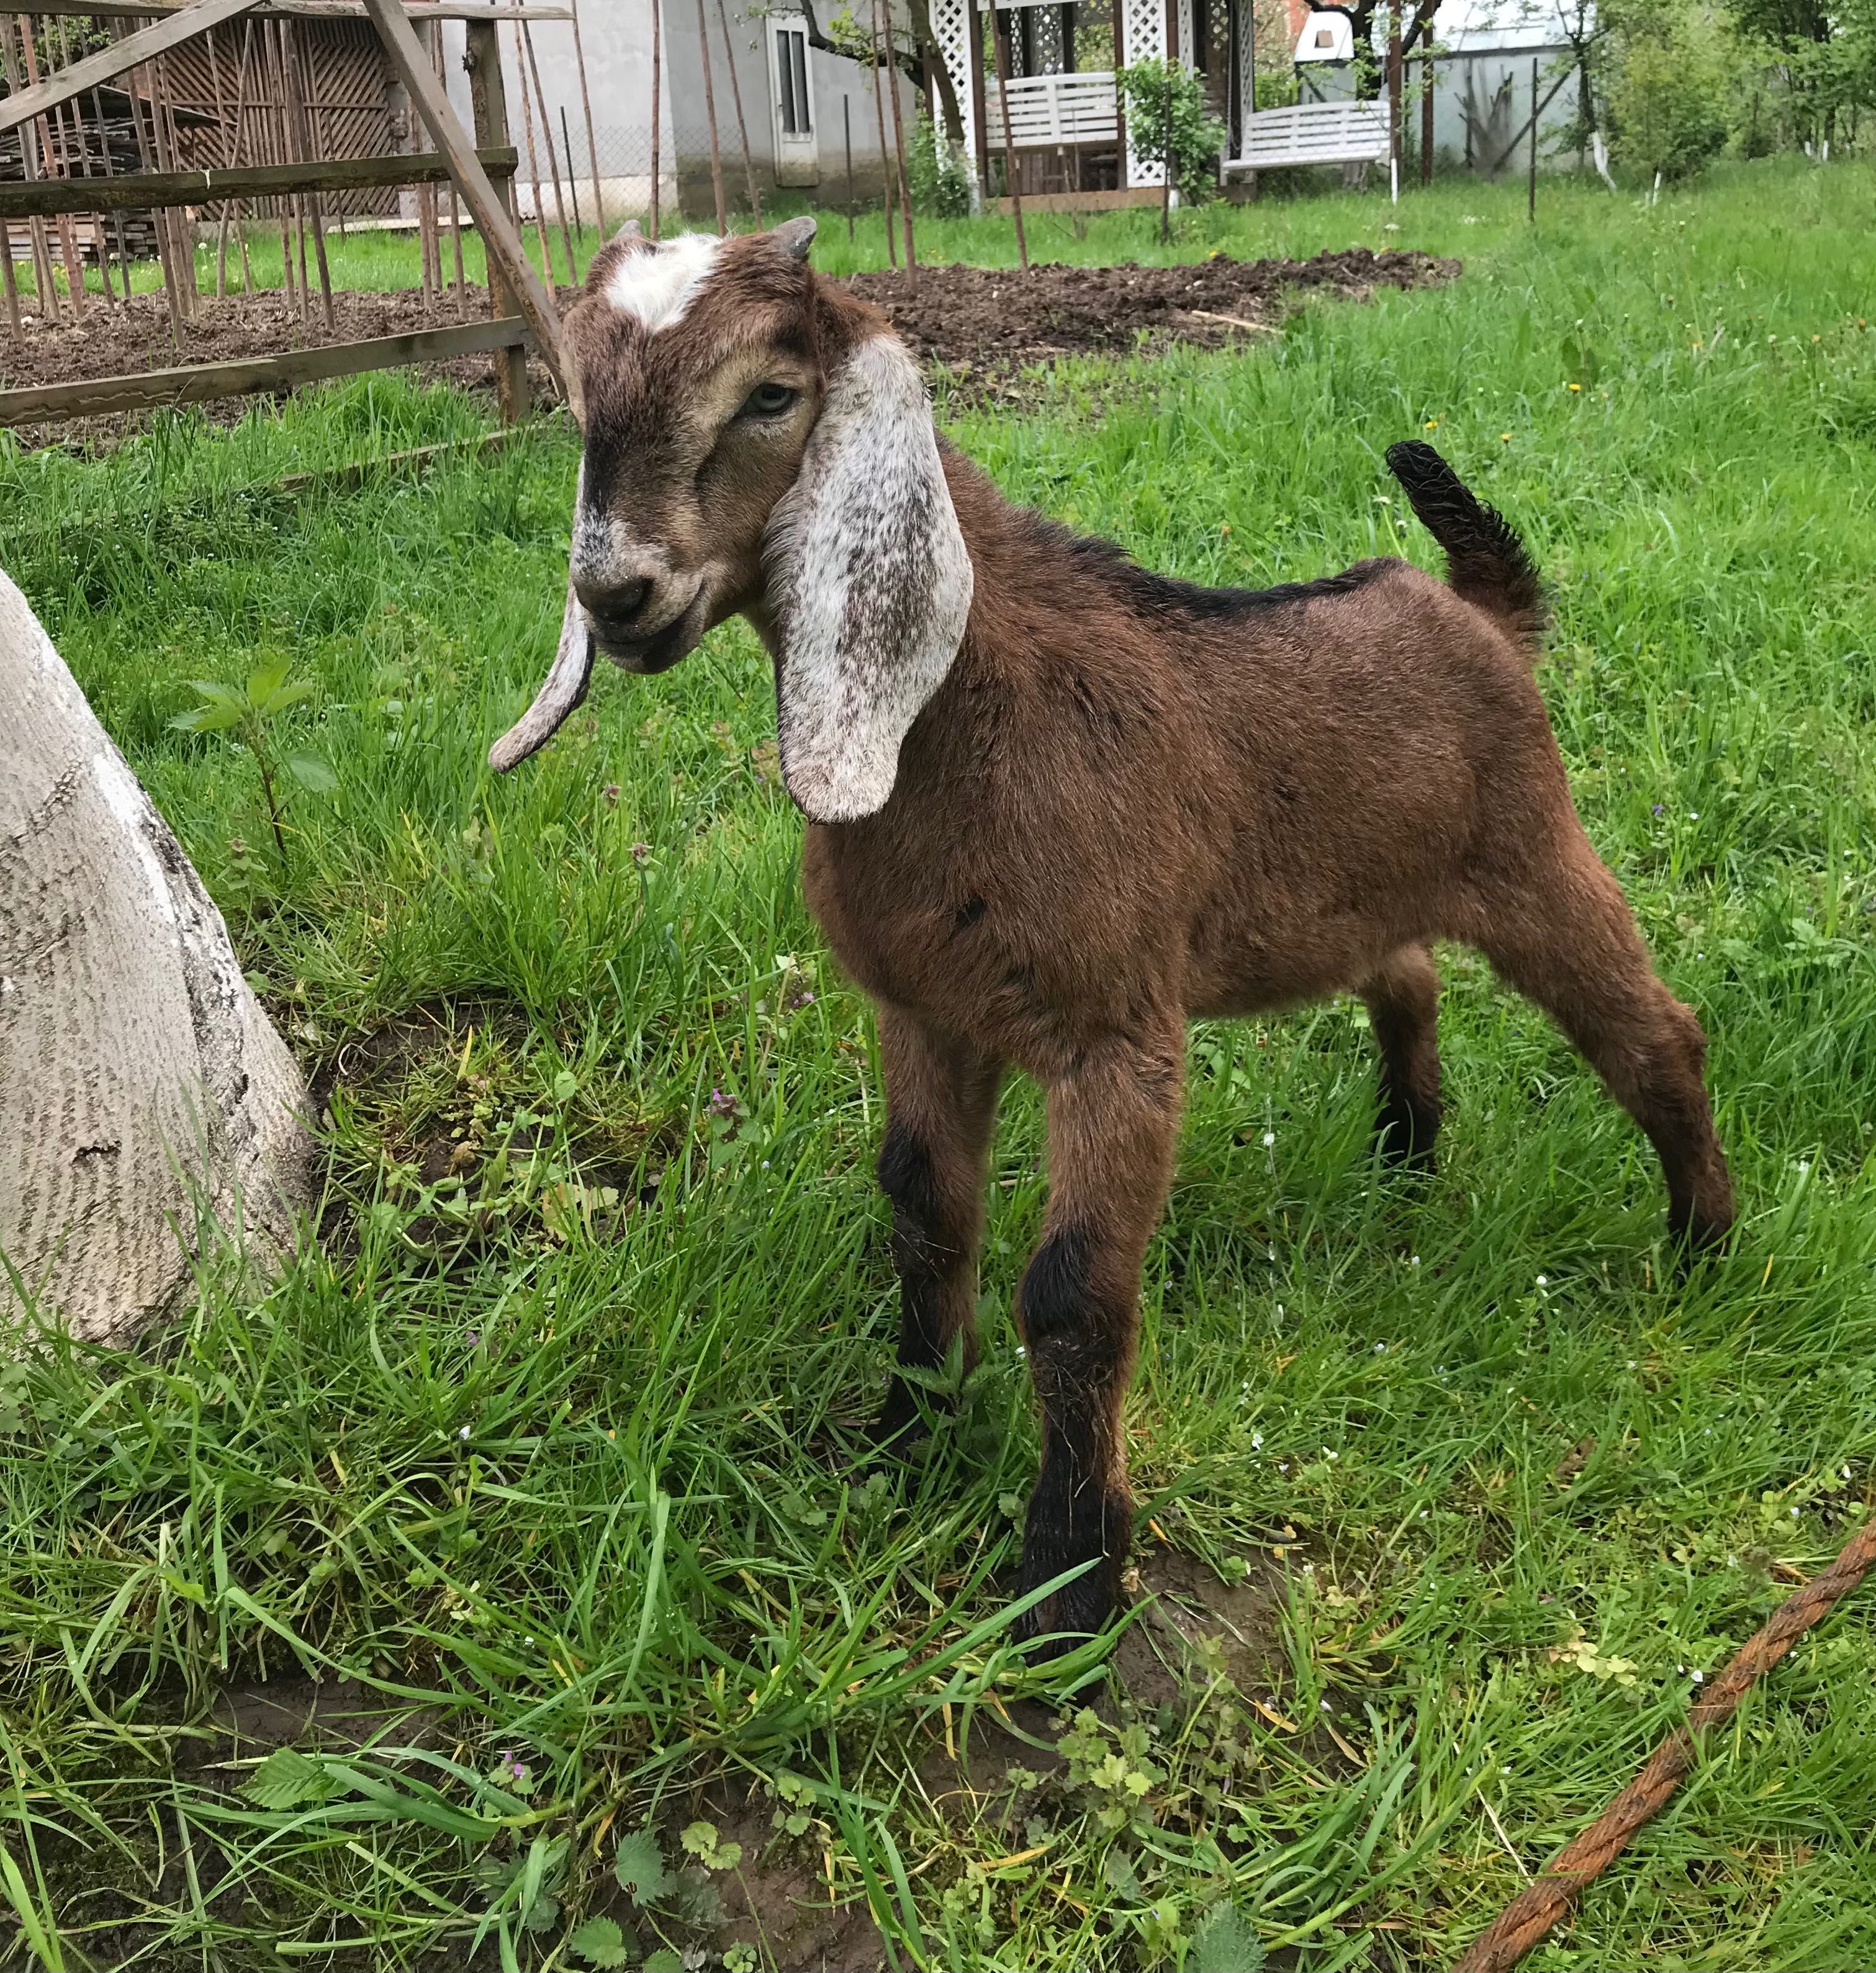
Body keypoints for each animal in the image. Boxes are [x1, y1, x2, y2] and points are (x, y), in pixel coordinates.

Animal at [491, 216, 1736, 1649]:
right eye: (582, 401)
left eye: (768, 393)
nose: (616, 592)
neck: (964, 708)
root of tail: (1471, 610)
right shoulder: (926, 1009)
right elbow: (924, 1210)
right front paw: (905, 1435)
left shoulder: (1114, 1034)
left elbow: (1073, 1291)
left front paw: (1070, 1574)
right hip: (1367, 883)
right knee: (1407, 975)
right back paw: (1406, 1154)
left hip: (1534, 852)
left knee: (1654, 1033)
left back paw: (1700, 1247)